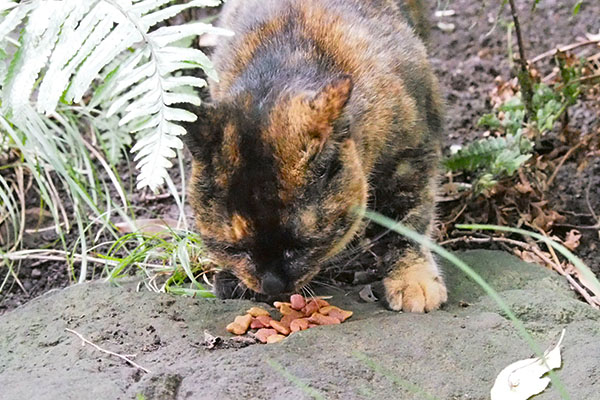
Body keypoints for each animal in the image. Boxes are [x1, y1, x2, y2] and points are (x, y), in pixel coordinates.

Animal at [185, 0, 448, 312]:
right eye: (234, 248)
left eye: (302, 245)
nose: (272, 285)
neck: (285, 59)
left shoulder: (412, 154)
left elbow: (408, 220)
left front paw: (412, 278)